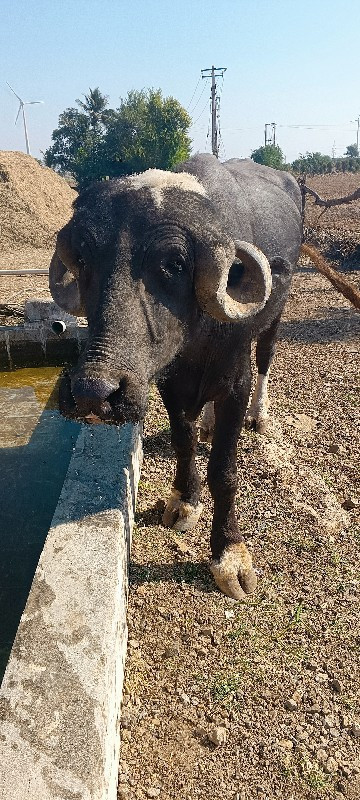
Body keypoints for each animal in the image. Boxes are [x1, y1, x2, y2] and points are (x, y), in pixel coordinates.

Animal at [49, 153, 302, 596]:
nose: (92, 392)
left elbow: (224, 471)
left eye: (174, 263)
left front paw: (229, 554)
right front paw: (185, 499)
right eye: (83, 259)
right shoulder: (167, 382)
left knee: (266, 357)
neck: (197, 338)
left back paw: (260, 415)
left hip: (274, 321)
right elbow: (183, 440)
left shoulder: (235, 384)